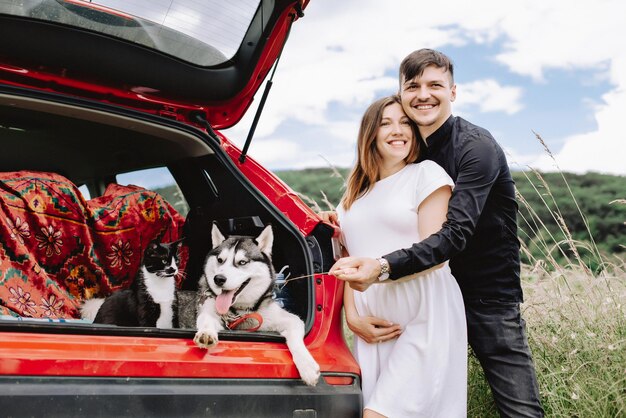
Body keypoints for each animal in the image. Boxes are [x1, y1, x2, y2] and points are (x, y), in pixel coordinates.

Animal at [194, 224, 322, 386]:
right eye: (220, 260)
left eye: (242, 262)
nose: (219, 279)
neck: (240, 311)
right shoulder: (209, 311)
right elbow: (206, 320)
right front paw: (206, 333)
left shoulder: (289, 319)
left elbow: (296, 338)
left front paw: (307, 365)